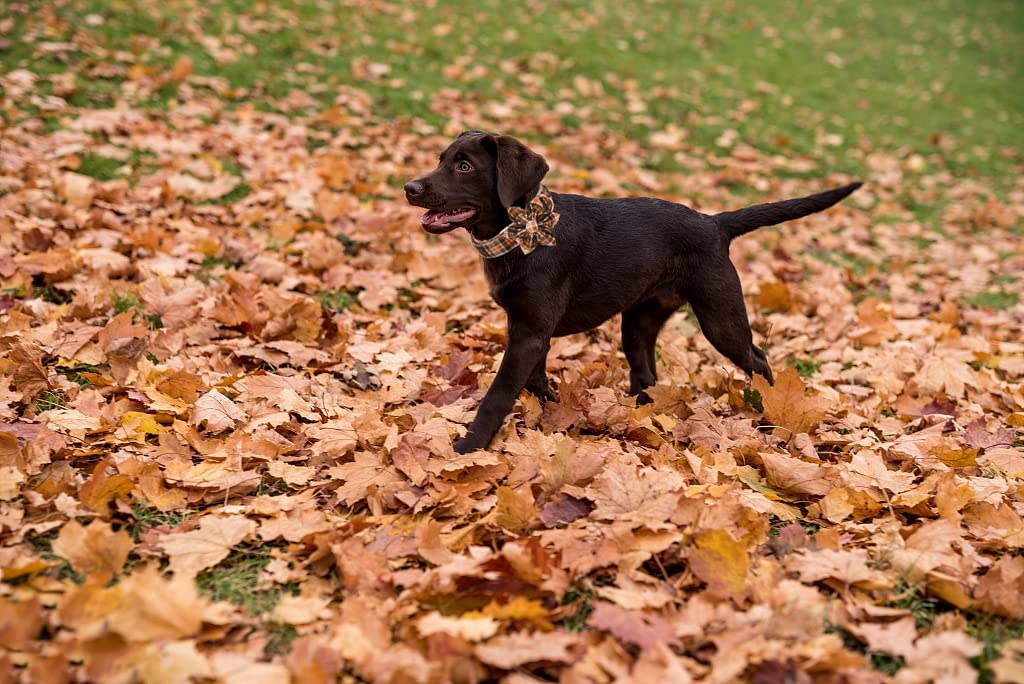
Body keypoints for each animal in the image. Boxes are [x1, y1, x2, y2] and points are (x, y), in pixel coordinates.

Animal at [403, 133, 860, 454]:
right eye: (441, 160)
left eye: (464, 165)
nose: (410, 187)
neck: (522, 231)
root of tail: (715, 223)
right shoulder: (530, 330)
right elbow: (535, 379)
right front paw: (550, 407)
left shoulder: (530, 331)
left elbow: (498, 395)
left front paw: (469, 446)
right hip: (639, 322)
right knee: (647, 376)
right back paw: (637, 421)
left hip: (721, 317)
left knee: (758, 358)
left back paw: (770, 411)